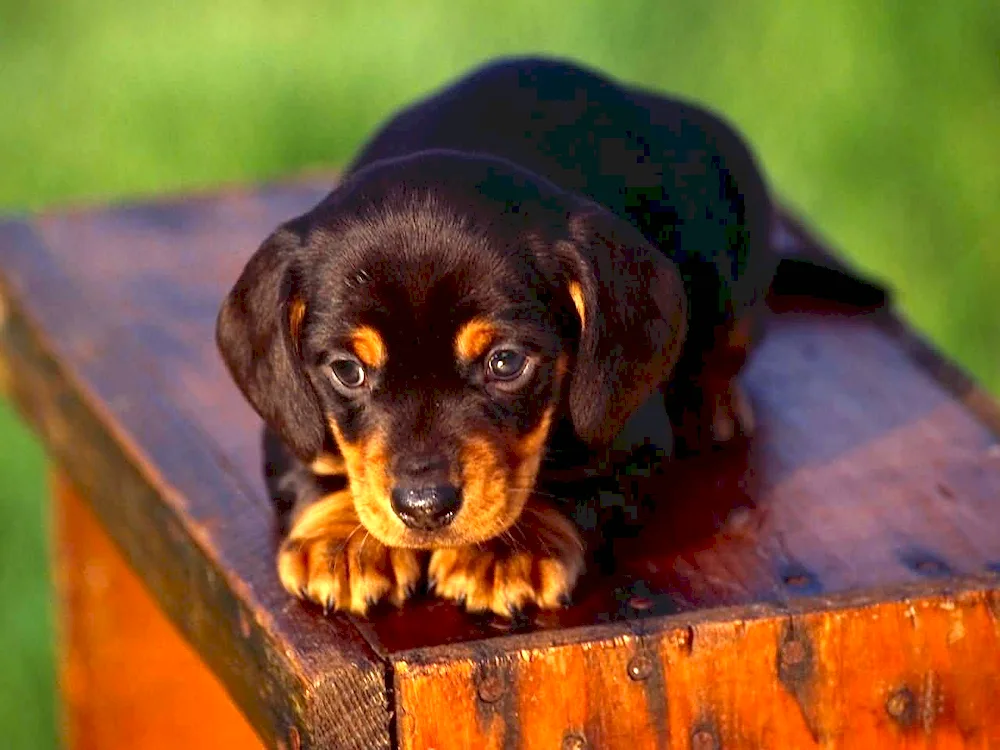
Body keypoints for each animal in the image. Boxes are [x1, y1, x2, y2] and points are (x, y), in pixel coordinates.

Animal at [215, 58, 832, 620]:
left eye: (506, 362)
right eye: (347, 370)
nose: (424, 507)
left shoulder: (630, 433)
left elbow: (577, 481)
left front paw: (506, 552)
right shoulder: (289, 413)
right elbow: (308, 461)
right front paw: (342, 540)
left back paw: (712, 401)